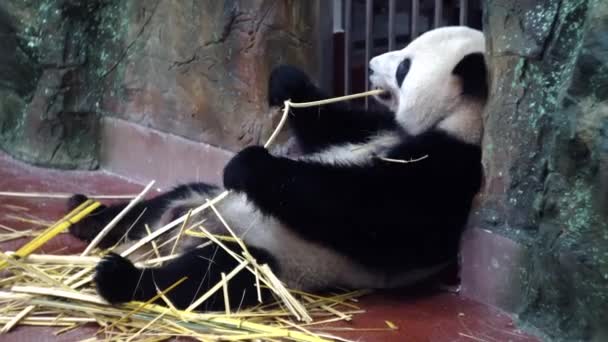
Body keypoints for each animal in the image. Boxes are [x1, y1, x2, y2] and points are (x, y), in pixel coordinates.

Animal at [67, 26, 490, 310]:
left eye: (404, 66)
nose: (370, 66)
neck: (453, 122)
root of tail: (178, 234)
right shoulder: (377, 127)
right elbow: (329, 123)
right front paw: (285, 82)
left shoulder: (447, 173)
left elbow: (372, 217)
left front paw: (248, 165)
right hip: (197, 200)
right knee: (154, 205)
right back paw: (86, 215)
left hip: (269, 255)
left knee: (210, 275)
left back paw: (121, 277)